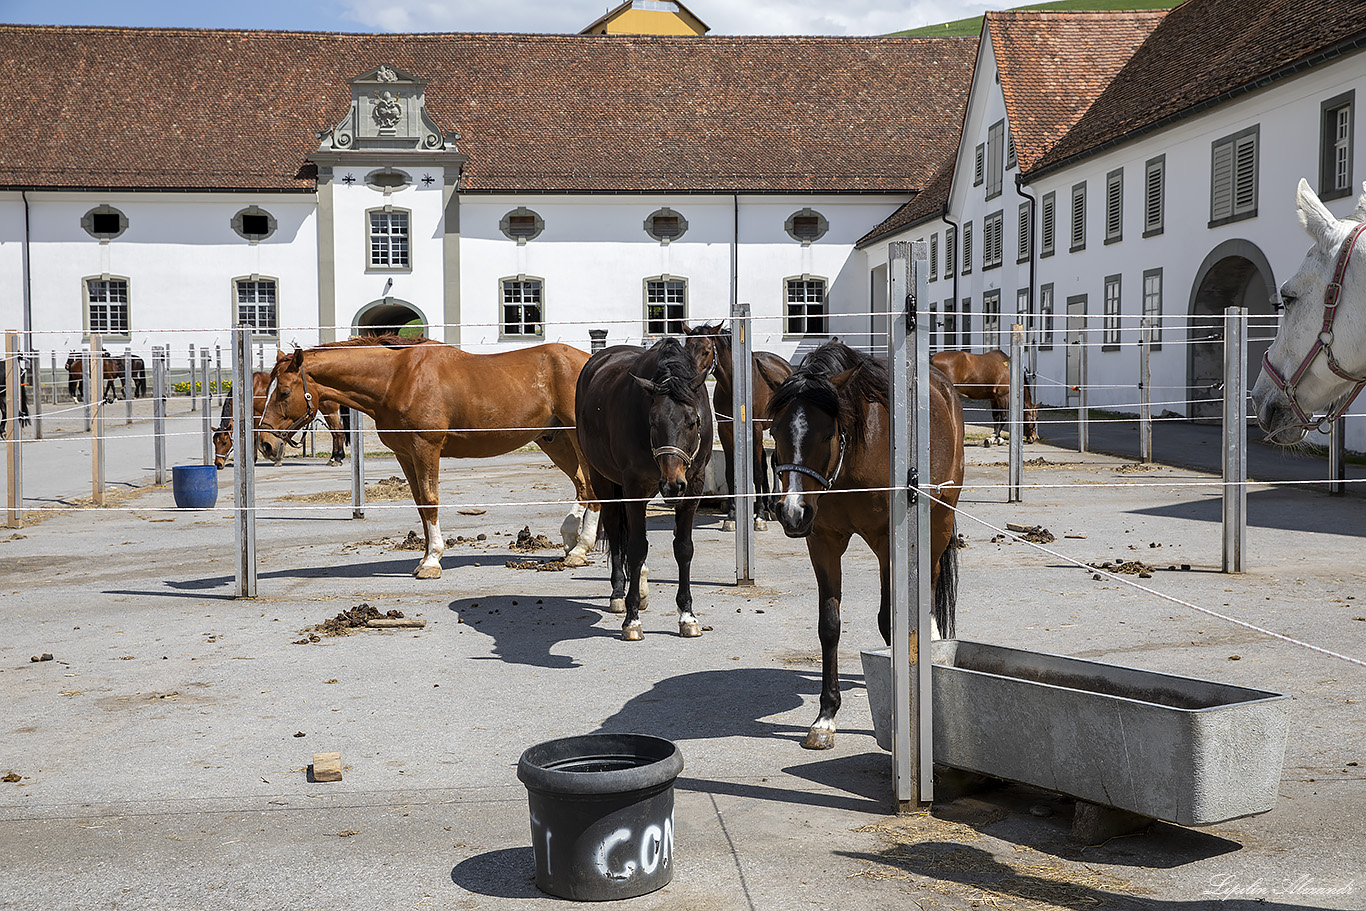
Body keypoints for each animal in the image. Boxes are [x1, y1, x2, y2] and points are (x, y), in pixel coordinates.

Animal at [211, 371, 349, 469]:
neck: (253, 389)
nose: (218, 463)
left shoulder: (257, 417)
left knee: (337, 431)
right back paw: (335, 457)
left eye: (224, 442)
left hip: (329, 411)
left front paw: (255, 458)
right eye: (214, 442)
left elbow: (255, 437)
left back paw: (337, 458)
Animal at [256, 334, 598, 576]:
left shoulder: (426, 448)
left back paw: (580, 550)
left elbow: (431, 501)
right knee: (582, 485)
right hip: (553, 440)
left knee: (593, 491)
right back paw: (570, 539)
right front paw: (423, 559)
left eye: (283, 392)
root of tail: (591, 361)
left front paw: (432, 561)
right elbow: (421, 504)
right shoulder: (405, 454)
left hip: (576, 440)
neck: (396, 378)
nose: (266, 444)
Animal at [573, 338, 715, 644]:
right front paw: (632, 619)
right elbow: (636, 547)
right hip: (603, 478)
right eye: (653, 422)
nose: (673, 484)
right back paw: (618, 593)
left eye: (693, 421)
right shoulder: (634, 486)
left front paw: (687, 616)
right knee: (615, 530)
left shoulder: (693, 486)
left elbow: (683, 548)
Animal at [680, 322, 792, 519]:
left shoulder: (755, 428)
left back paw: (771, 504)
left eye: (706, 350)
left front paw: (759, 513)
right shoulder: (725, 429)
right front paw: (732, 512)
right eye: (687, 348)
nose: (690, 379)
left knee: (773, 462)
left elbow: (757, 471)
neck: (735, 386)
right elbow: (731, 471)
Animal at [759, 338, 972, 753]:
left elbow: (892, 620)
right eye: (775, 431)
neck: (853, 457)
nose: (791, 511)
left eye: (827, 433)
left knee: (931, 581)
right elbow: (829, 624)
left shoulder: (887, 542)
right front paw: (825, 718)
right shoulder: (822, 542)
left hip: (938, 518)